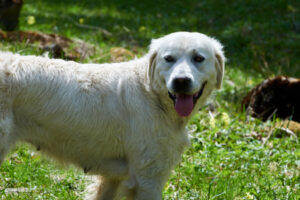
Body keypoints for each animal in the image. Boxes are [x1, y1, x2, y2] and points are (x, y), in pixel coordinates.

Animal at [0, 32, 224, 199]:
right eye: (169, 59)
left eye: (198, 58)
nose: (181, 81)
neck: (151, 93)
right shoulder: (148, 179)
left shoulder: (112, 179)